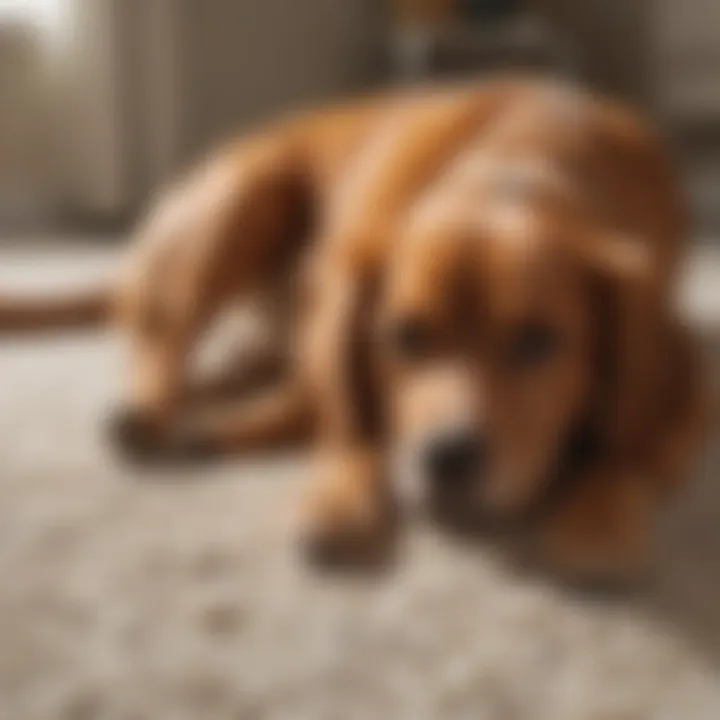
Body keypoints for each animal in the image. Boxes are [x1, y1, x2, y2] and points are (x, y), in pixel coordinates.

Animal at [0, 76, 708, 580]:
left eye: (539, 341)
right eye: (406, 336)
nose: (447, 457)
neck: (521, 171)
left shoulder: (688, 368)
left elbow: (629, 442)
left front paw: (598, 520)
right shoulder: (345, 317)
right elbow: (350, 419)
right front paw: (340, 499)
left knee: (258, 372)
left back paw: (214, 424)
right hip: (242, 201)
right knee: (172, 342)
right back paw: (157, 414)